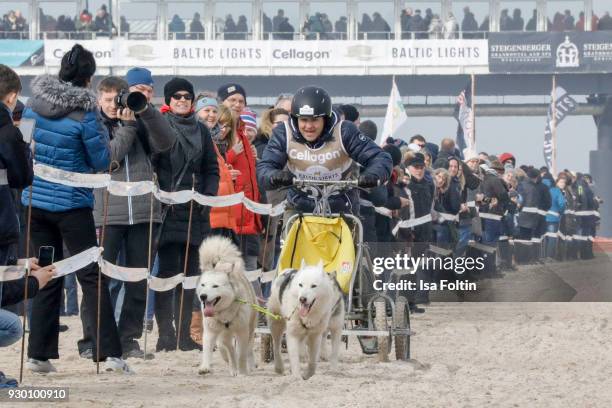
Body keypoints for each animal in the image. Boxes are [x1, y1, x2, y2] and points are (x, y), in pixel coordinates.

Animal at [195, 236, 255, 376]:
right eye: (203, 285)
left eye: (215, 286)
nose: (203, 296)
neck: (224, 315)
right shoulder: (210, 331)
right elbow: (209, 349)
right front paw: (205, 367)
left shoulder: (242, 332)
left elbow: (242, 354)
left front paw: (242, 371)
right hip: (224, 335)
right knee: (228, 348)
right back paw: (232, 367)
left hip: (250, 328)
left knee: (248, 349)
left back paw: (249, 366)